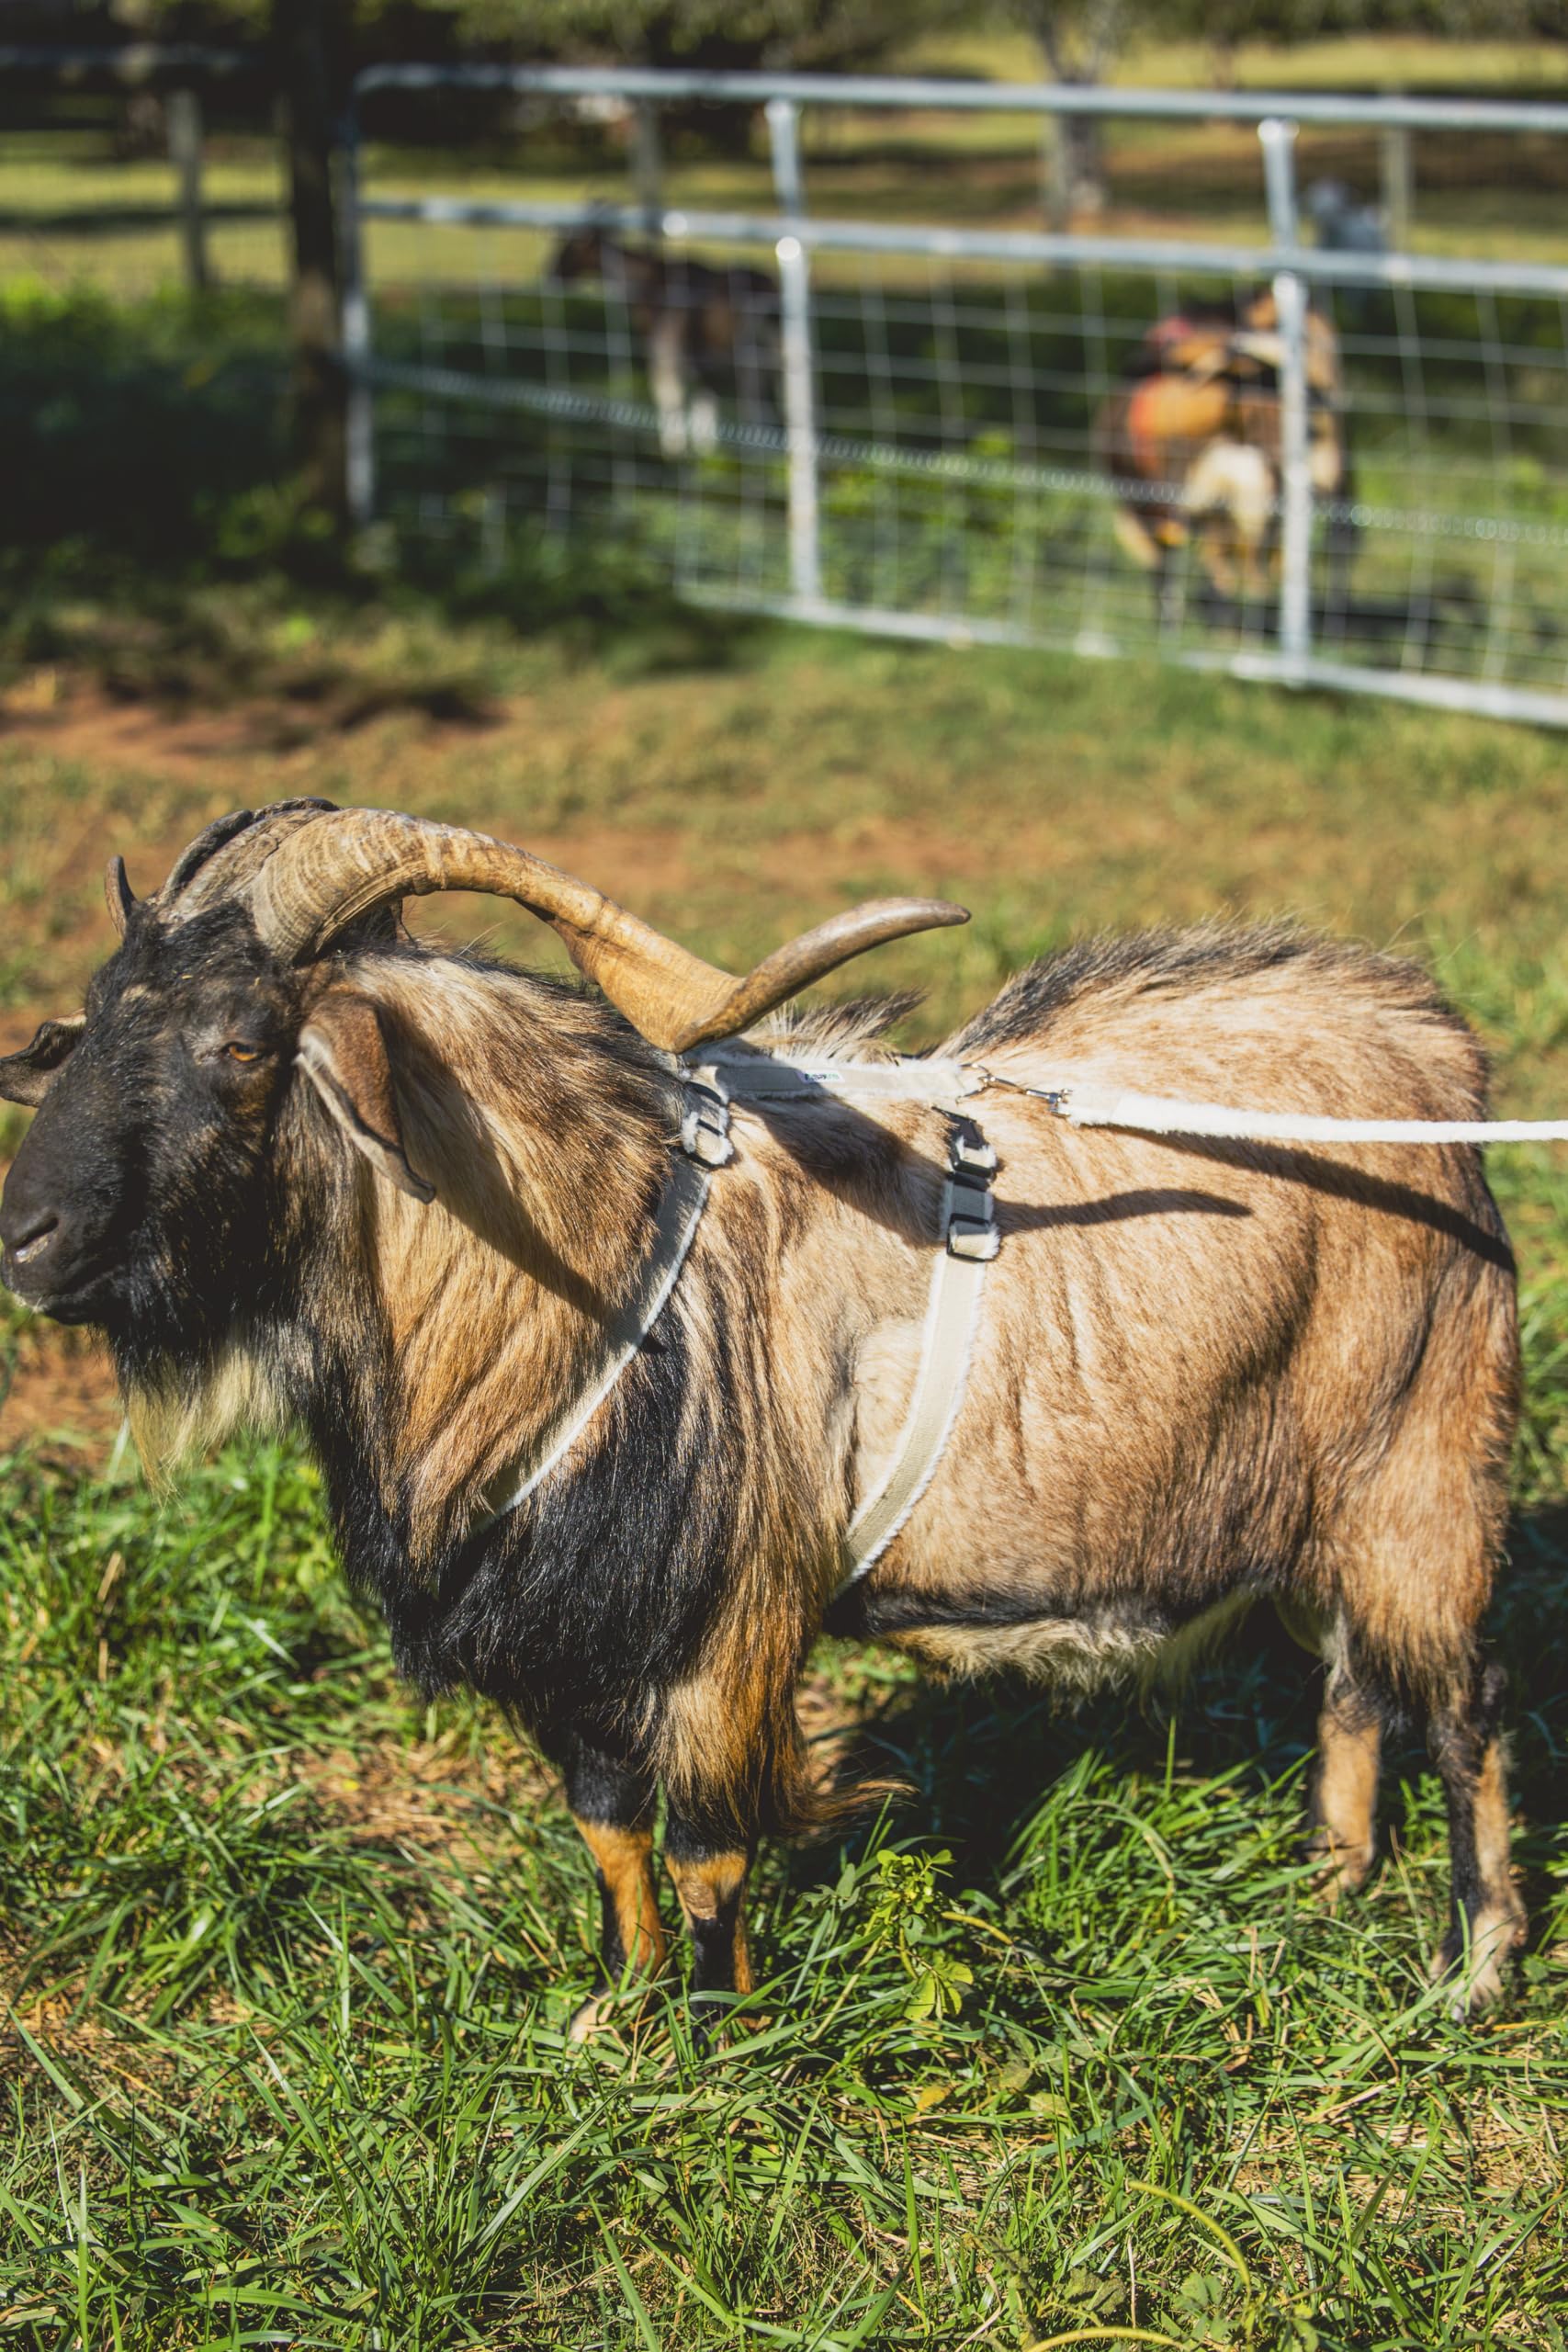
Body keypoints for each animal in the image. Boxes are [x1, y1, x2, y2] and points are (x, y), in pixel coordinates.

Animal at [0, 803, 1527, 2027]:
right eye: (93, 1017)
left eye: (244, 1041)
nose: (26, 1235)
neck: (590, 1273)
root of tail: (1438, 1057)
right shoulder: (574, 1646)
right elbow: (608, 1833)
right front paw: (615, 2012)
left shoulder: (726, 1629)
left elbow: (705, 1853)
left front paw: (718, 2037)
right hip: (1329, 1499)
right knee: (1351, 1685)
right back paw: (1328, 1884)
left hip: (1425, 1470)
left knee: (1461, 1710)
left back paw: (1474, 1966)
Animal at [546, 225, 780, 458]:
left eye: (573, 244)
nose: (551, 274)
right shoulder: (700, 361)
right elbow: (703, 404)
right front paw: (704, 452)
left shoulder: (665, 350)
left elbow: (668, 396)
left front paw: (673, 450)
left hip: (748, 359)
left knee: (756, 406)